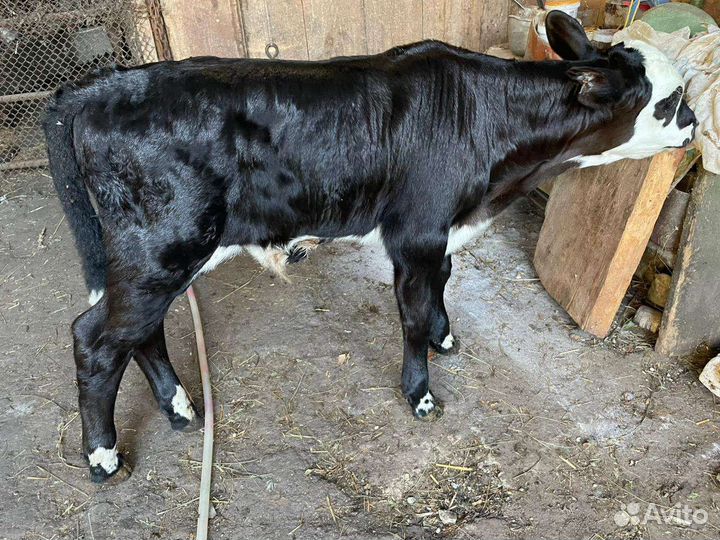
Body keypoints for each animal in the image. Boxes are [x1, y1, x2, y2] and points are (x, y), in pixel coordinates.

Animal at [43, 11, 697, 483]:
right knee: (96, 339)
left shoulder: (439, 234)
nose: (693, 124)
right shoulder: (416, 231)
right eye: (667, 101)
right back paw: (104, 458)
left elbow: (442, 283)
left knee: (140, 331)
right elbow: (411, 315)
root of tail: (98, 86)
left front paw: (445, 337)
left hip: (157, 257)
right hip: (160, 249)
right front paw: (421, 394)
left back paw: (179, 409)